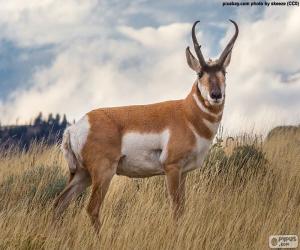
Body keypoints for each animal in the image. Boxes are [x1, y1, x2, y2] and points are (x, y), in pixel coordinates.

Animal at [54, 20, 239, 232]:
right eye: (200, 73)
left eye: (224, 72)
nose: (216, 95)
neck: (187, 113)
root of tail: (76, 127)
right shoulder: (172, 168)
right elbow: (176, 208)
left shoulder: (183, 172)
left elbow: (182, 208)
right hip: (103, 173)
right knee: (92, 208)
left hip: (82, 175)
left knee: (59, 203)